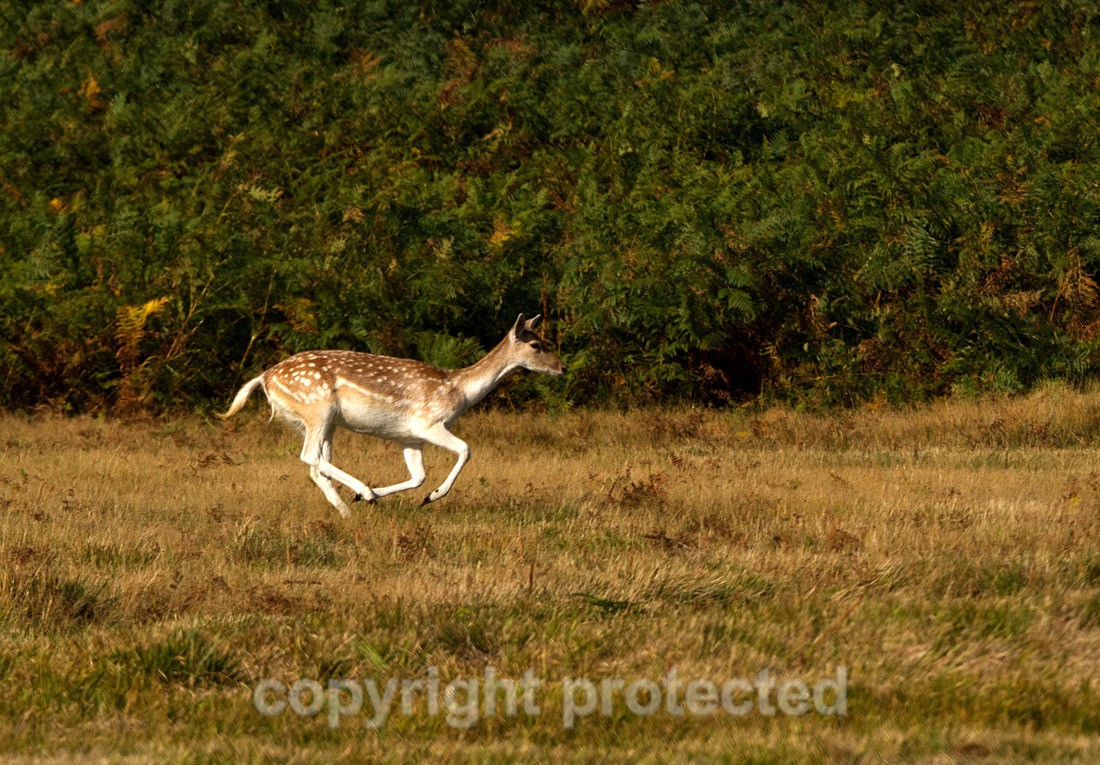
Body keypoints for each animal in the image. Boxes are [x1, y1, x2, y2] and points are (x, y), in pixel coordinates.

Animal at [219, 314, 563, 516]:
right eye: (536, 344)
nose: (561, 367)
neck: (459, 391)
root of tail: (264, 378)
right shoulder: (428, 423)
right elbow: (465, 450)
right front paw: (433, 497)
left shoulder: (409, 438)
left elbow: (418, 476)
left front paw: (406, 496)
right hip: (317, 407)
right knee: (309, 457)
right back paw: (364, 492)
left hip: (325, 422)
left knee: (317, 466)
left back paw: (349, 509)